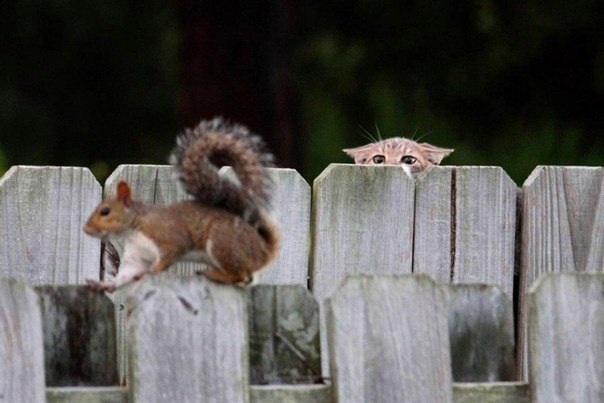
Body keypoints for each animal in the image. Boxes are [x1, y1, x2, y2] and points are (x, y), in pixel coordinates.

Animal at [83, 118, 280, 292]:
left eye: (105, 211)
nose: (86, 229)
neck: (134, 227)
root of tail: (263, 250)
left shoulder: (169, 238)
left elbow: (168, 256)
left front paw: (151, 271)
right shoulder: (136, 255)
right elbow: (126, 274)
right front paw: (103, 285)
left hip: (223, 242)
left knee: (241, 275)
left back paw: (213, 274)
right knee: (245, 278)